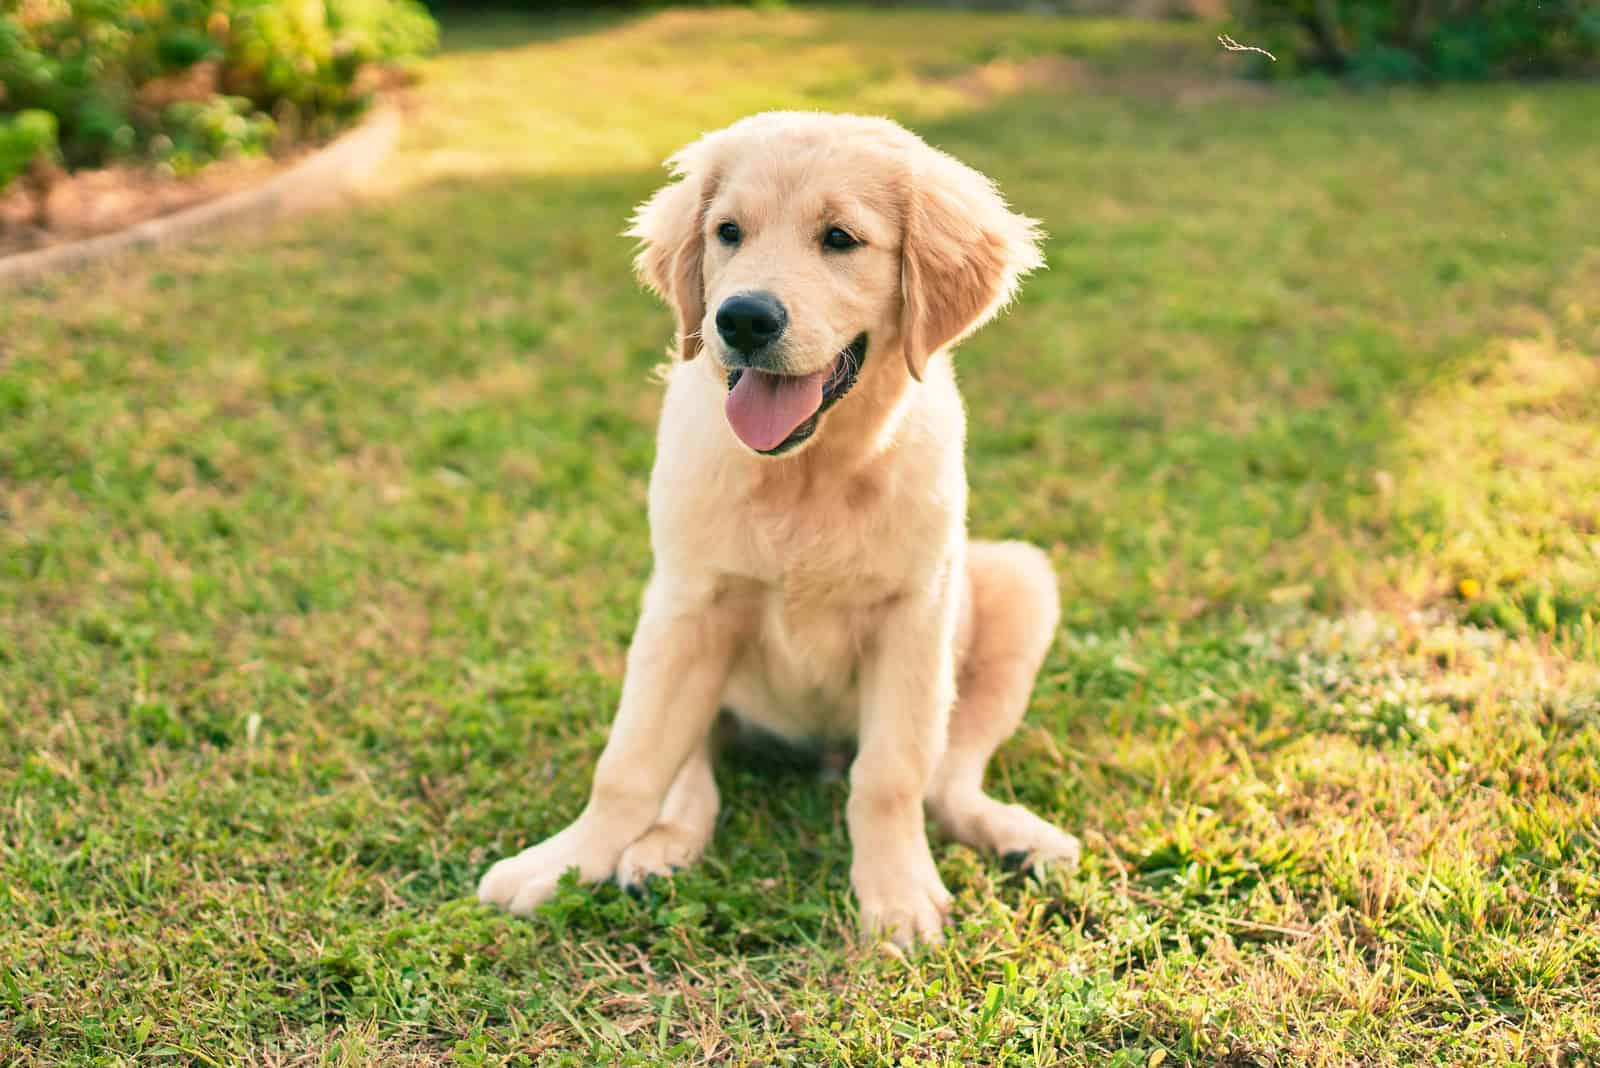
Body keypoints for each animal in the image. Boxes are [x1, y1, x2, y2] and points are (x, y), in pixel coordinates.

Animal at [473, 112, 1075, 946]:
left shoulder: (914, 617)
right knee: (690, 772)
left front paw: (896, 895)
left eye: (840, 239)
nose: (743, 318)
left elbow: (891, 775)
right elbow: (628, 765)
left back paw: (1020, 836)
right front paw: (564, 863)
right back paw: (659, 849)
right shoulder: (690, 603)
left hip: (1019, 583)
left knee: (947, 779)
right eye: (728, 232)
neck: (805, 474)